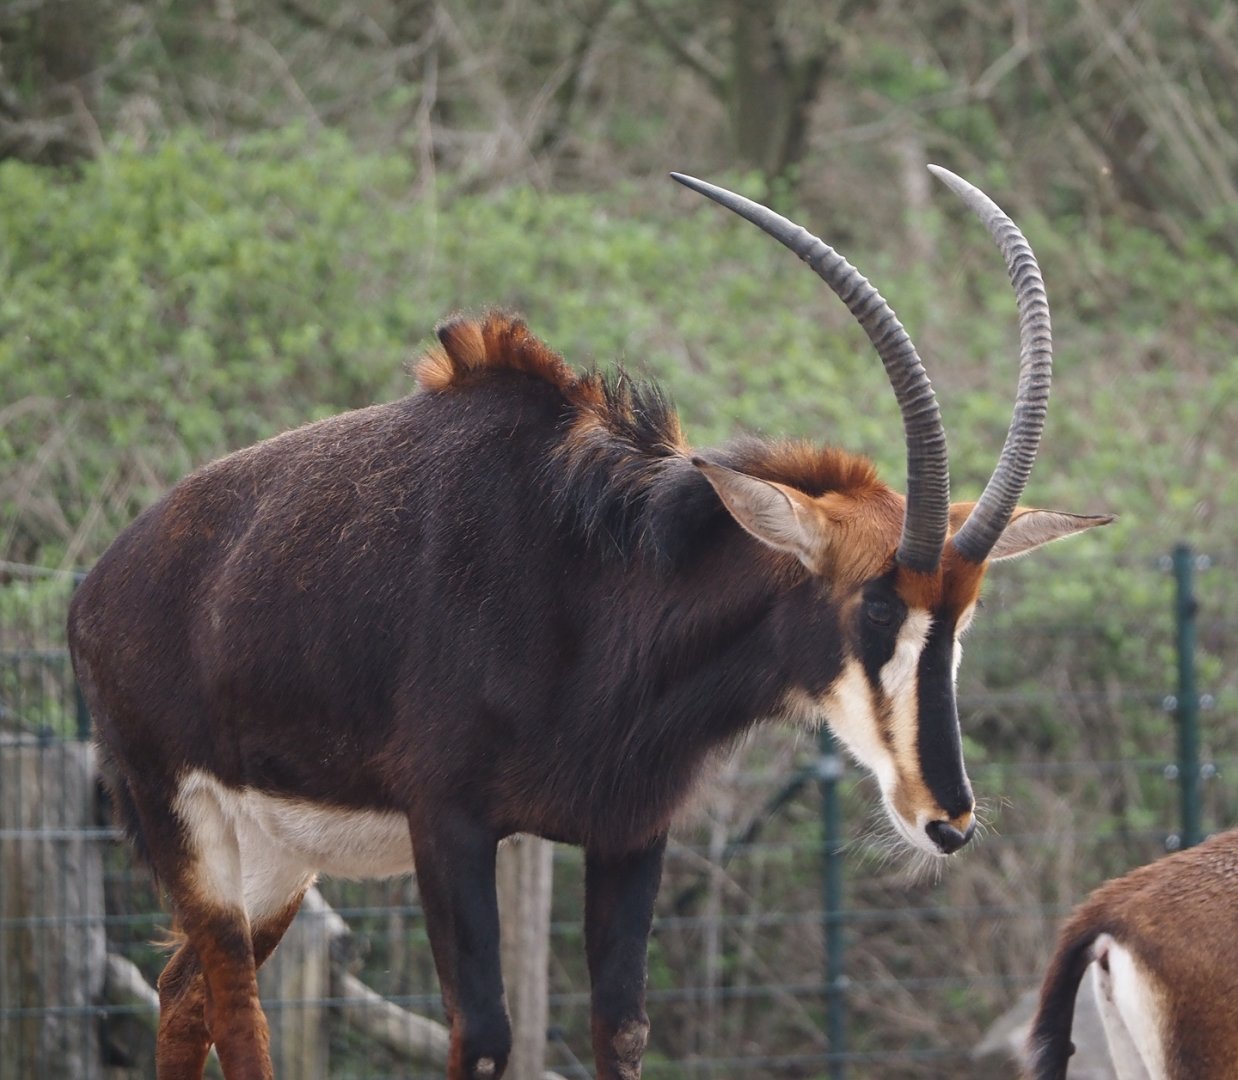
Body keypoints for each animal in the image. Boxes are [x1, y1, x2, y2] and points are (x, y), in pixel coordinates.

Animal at [68, 167, 1112, 1080]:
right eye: (879, 605)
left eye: (963, 618)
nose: (949, 820)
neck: (595, 588)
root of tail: (93, 590)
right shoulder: (450, 826)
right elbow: (486, 1037)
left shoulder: (630, 832)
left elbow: (624, 1029)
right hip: (190, 827)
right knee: (236, 1015)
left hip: (277, 862)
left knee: (181, 992)